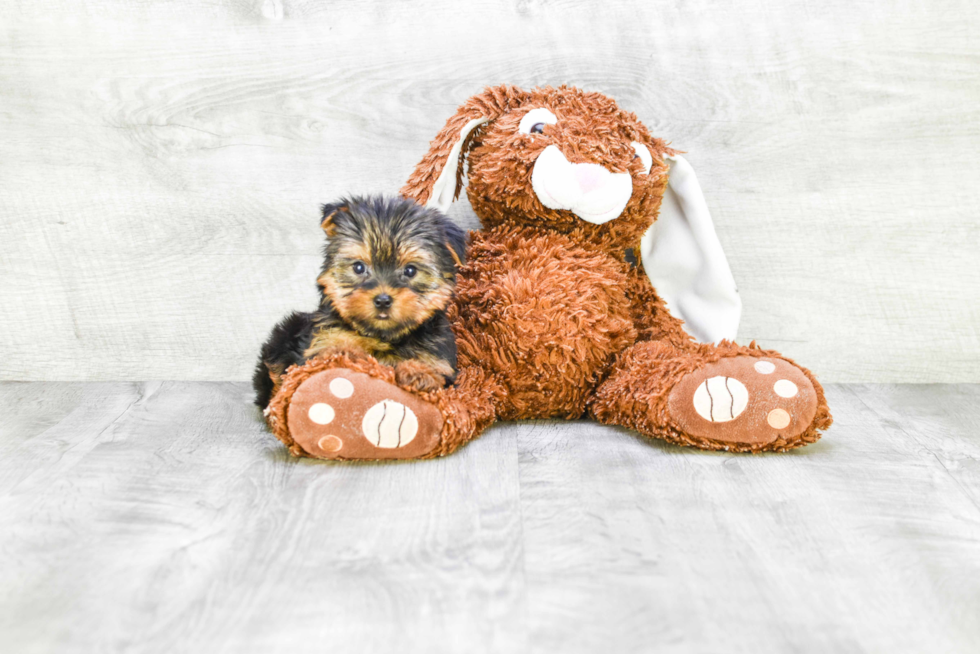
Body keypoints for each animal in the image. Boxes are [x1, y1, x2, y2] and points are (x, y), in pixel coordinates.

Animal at [253, 196, 468, 410]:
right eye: (358, 267)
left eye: (410, 270)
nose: (383, 300)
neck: (382, 336)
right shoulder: (320, 342)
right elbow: (331, 352)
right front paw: (346, 354)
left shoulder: (442, 360)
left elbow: (437, 373)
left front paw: (420, 373)